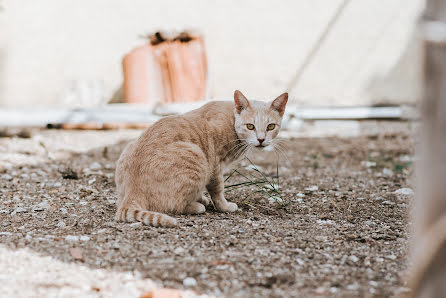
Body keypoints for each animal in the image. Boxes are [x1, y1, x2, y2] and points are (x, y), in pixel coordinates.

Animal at [115, 89, 288, 227]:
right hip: (196, 155)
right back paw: (196, 207)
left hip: (129, 147)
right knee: (173, 205)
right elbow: (217, 190)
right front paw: (224, 206)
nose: (261, 140)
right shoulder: (214, 164)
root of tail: (133, 190)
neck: (231, 120)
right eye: (250, 126)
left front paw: (201, 197)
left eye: (271, 126)